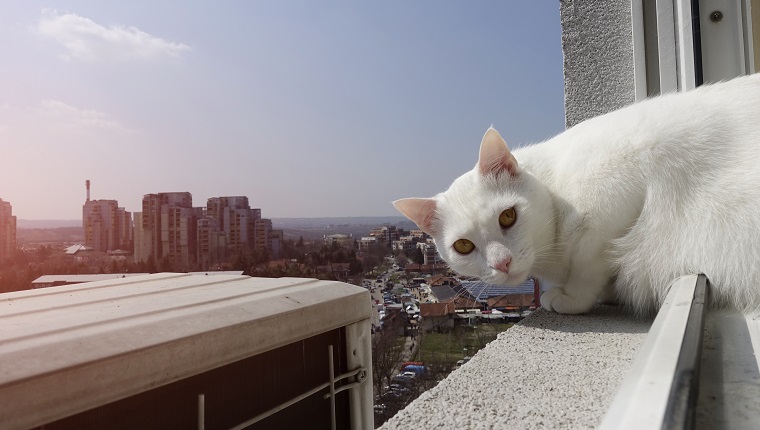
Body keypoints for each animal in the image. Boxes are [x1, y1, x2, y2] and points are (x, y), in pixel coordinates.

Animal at [394, 74, 760, 314]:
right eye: (463, 246)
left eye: (508, 216)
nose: (502, 263)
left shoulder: (615, 199)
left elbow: (587, 264)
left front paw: (572, 299)